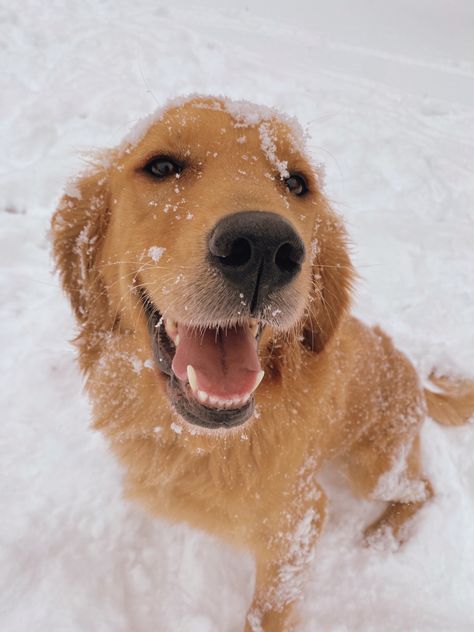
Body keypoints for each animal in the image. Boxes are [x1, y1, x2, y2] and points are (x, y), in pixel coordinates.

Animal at [51, 96, 474, 628]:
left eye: (297, 183)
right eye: (162, 166)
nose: (264, 247)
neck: (205, 441)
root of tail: (412, 371)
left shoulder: (299, 526)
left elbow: (266, 612)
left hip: (372, 469)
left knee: (423, 488)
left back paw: (382, 536)